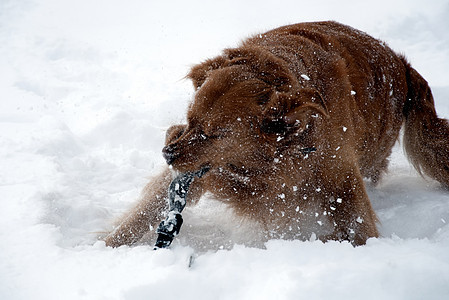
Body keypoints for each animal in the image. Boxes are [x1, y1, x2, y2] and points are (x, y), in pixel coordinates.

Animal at [105, 20, 448, 246]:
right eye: (189, 120)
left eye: (216, 134)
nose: (167, 154)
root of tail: (402, 63)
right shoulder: (202, 171)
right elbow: (141, 215)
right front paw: (105, 248)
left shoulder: (342, 179)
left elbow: (357, 229)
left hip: (372, 152)